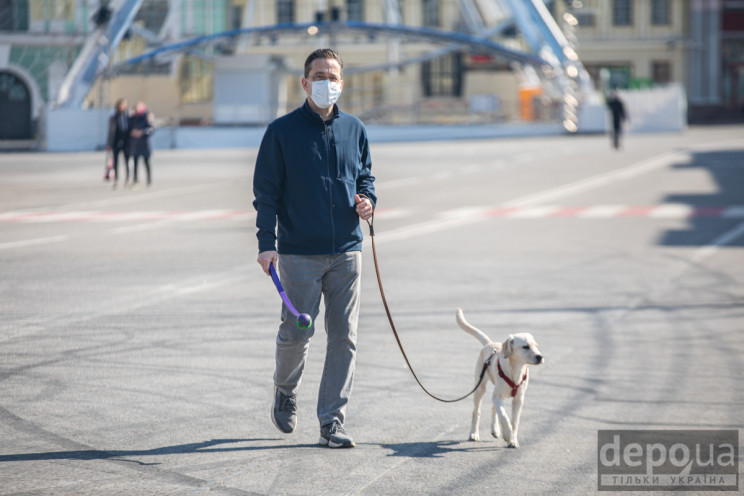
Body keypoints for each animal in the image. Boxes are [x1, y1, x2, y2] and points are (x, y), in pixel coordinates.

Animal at [456, 308, 544, 448]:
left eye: (536, 346)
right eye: (525, 346)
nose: (540, 357)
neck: (516, 370)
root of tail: (490, 344)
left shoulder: (518, 399)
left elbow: (514, 421)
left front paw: (513, 440)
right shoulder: (498, 397)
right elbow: (504, 416)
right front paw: (507, 434)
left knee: (493, 408)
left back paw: (495, 430)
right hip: (480, 387)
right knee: (477, 412)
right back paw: (474, 434)